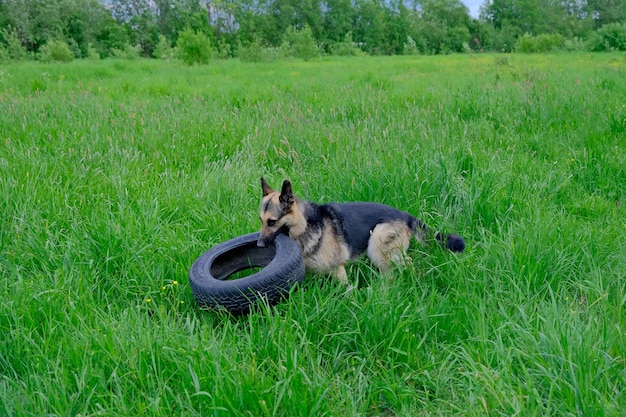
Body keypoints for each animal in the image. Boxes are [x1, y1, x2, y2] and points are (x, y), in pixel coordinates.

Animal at [255, 177, 464, 284]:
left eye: (272, 222)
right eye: (261, 221)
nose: (258, 244)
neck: (305, 226)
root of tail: (405, 215)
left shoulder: (338, 269)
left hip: (377, 243)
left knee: (393, 272)